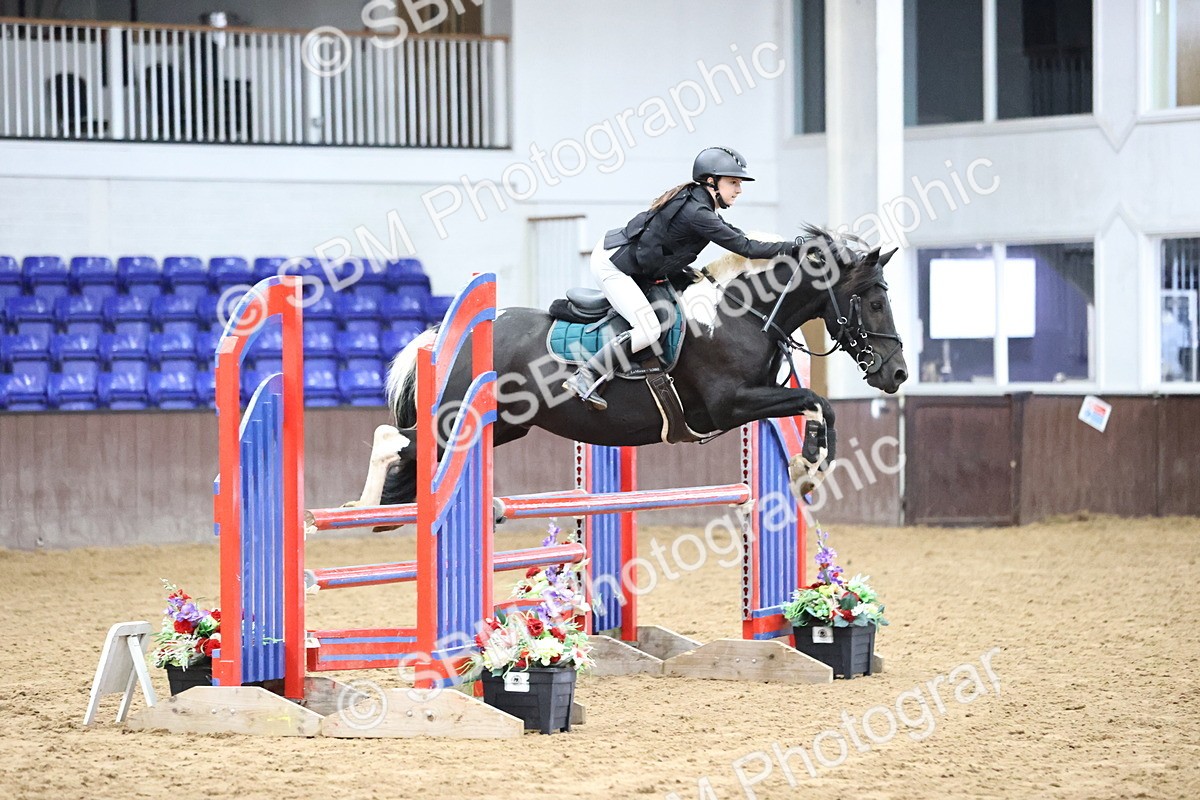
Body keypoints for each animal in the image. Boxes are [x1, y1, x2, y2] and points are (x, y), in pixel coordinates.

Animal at [373, 227, 908, 506]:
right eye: (874, 301)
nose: (897, 373)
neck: (742, 314)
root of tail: (445, 336)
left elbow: (820, 408)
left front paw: (809, 465)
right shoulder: (730, 405)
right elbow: (815, 401)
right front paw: (808, 468)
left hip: (503, 427)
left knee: (415, 460)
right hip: (456, 422)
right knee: (398, 443)